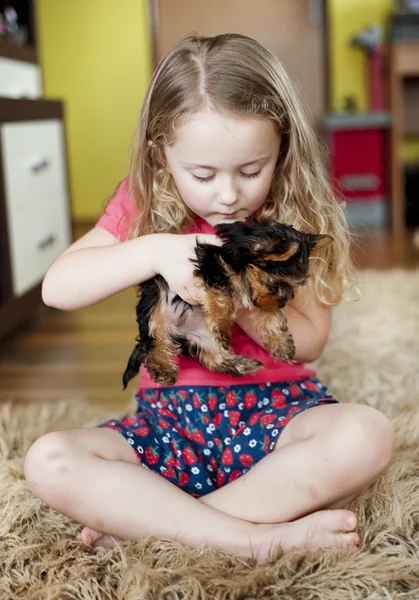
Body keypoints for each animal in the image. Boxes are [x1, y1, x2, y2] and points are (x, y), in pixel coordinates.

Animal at [123, 218, 334, 386]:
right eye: (278, 284)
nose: (284, 302)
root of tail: (179, 331)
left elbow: (269, 314)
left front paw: (281, 344)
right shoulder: (212, 265)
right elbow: (223, 298)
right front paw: (223, 324)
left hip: (201, 336)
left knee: (214, 357)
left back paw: (243, 364)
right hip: (155, 305)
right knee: (154, 341)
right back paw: (162, 369)